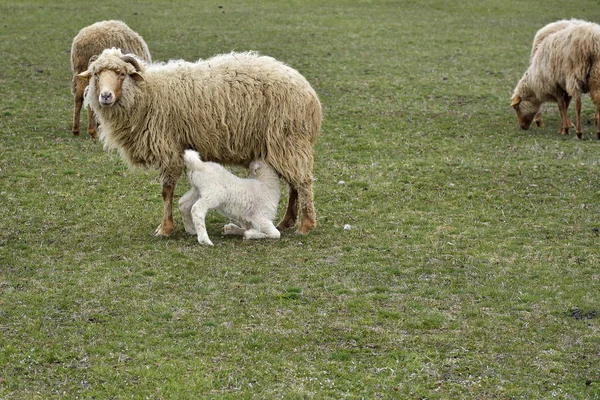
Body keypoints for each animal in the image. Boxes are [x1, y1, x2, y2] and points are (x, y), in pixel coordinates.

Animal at [82, 49, 322, 238]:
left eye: (122, 74)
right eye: (96, 74)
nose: (105, 96)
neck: (148, 94)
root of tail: (309, 92)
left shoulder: (170, 149)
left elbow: (166, 191)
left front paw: (165, 228)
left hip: (289, 140)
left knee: (303, 183)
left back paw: (306, 225)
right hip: (283, 146)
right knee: (294, 184)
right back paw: (287, 221)